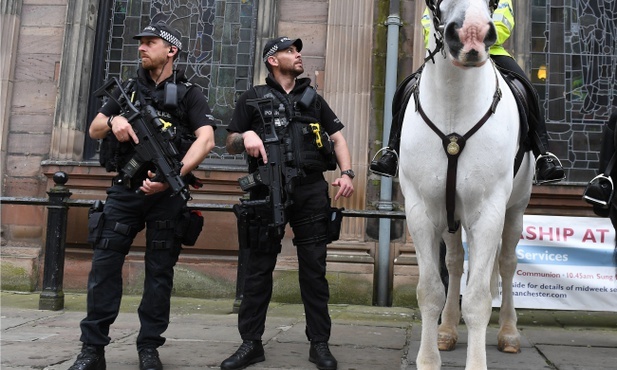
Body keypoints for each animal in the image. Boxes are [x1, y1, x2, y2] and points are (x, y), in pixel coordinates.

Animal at [400, 0, 536, 370]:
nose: (471, 34)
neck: (453, 108)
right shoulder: (421, 211)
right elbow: (430, 290)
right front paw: (428, 358)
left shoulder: (488, 213)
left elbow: (477, 298)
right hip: (450, 214)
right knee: (455, 263)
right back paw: (447, 330)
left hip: (514, 211)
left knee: (506, 264)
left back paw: (509, 333)